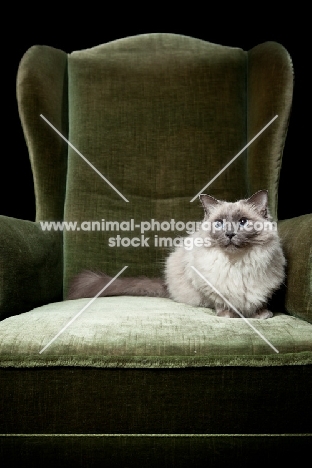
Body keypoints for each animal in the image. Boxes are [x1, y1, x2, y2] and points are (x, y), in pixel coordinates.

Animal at [67, 189, 286, 318]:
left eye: (242, 222)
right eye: (219, 223)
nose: (230, 234)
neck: (236, 264)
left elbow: (257, 303)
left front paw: (261, 315)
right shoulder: (206, 285)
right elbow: (222, 302)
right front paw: (228, 315)